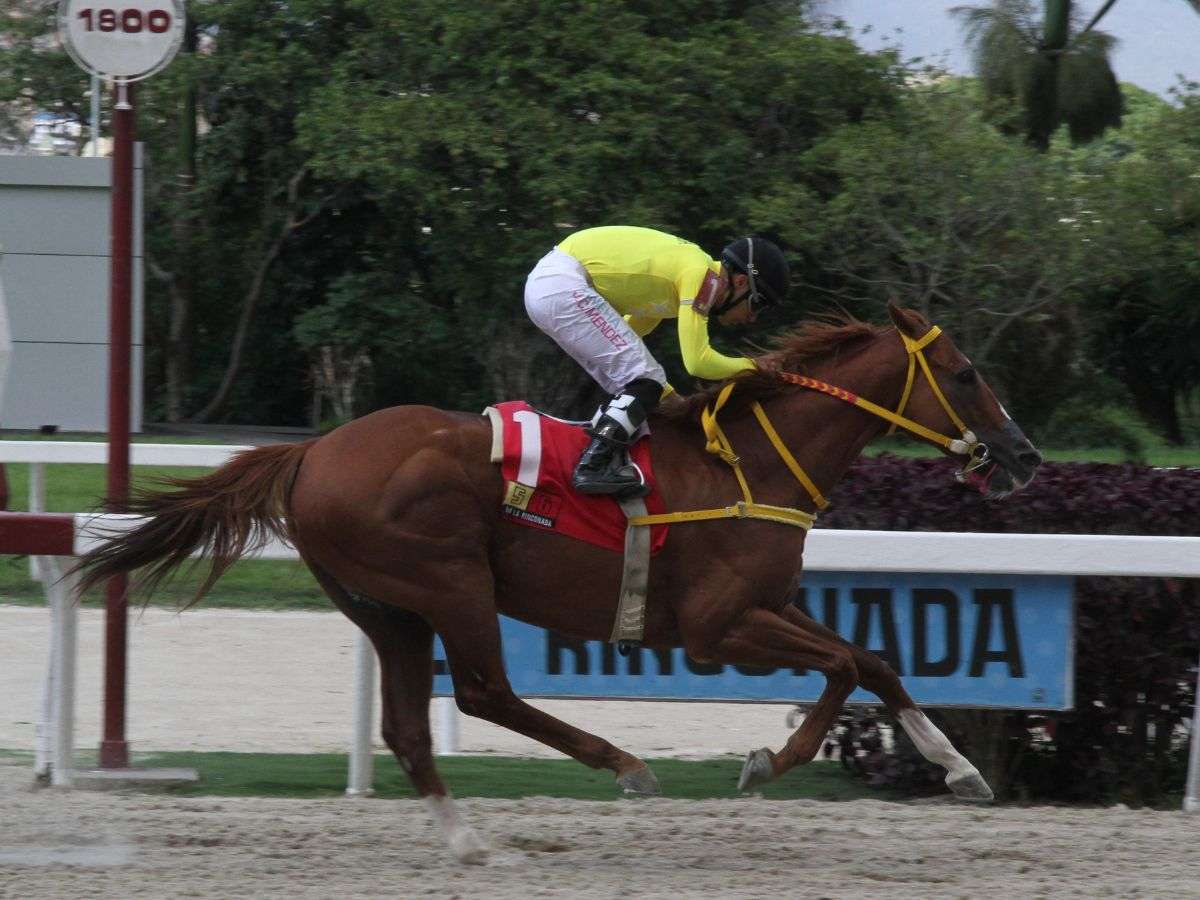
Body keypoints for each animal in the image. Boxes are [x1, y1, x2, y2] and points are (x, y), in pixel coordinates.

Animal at [77, 304, 1041, 868]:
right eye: (965, 375)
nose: (1024, 454)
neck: (755, 462)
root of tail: (313, 451)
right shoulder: (718, 625)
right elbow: (846, 666)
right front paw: (774, 762)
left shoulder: (771, 604)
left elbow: (870, 660)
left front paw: (955, 769)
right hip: (449, 580)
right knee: (483, 691)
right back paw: (622, 765)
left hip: (386, 608)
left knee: (410, 727)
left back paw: (469, 840)